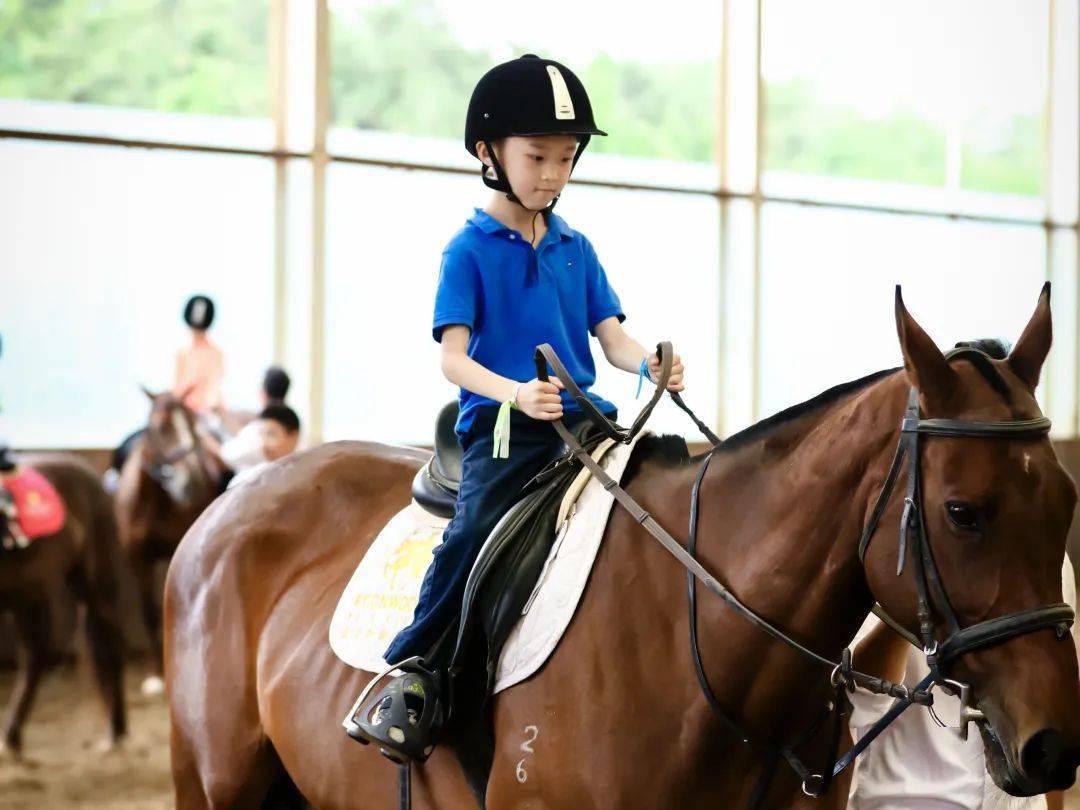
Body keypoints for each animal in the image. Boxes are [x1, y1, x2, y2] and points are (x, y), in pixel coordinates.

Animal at [0, 457, 126, 760]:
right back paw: (12, 738)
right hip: (30, 593)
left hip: (97, 583)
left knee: (110, 646)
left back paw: (114, 733)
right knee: (35, 657)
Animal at [116, 388, 223, 691]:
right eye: (161, 427)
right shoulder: (137, 558)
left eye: (193, 427)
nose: (193, 484)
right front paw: (156, 674)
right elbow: (150, 612)